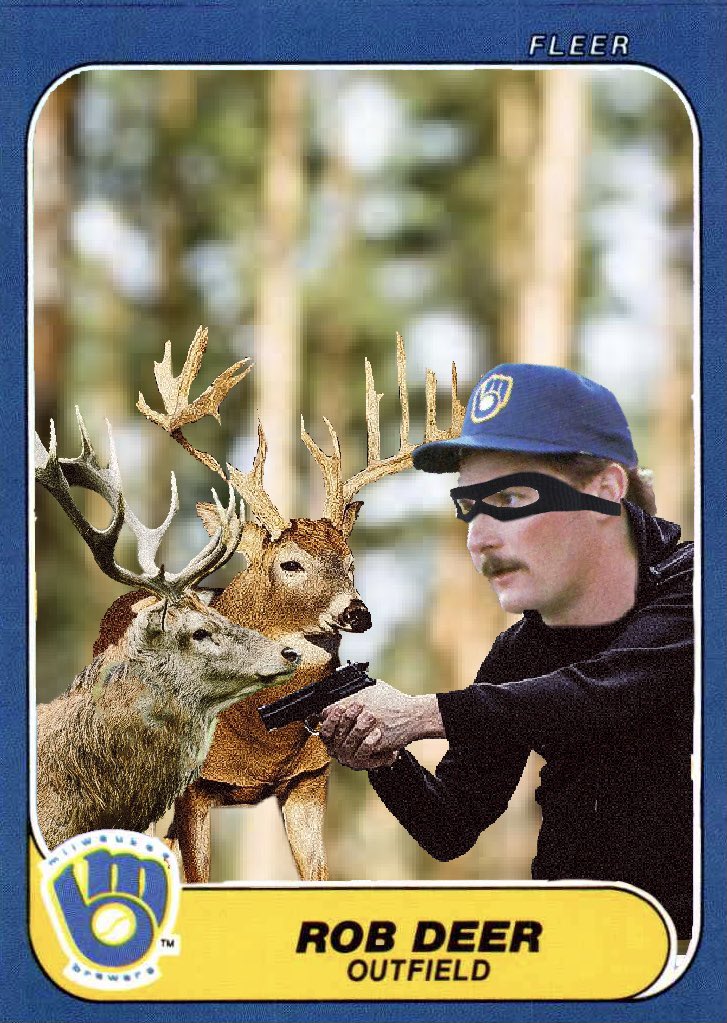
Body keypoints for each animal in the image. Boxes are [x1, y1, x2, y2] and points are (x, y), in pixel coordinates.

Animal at [95, 326, 464, 883]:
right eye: (290, 564)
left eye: (350, 562)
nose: (357, 613)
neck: (257, 739)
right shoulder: (194, 792)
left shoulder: (310, 782)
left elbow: (318, 877)